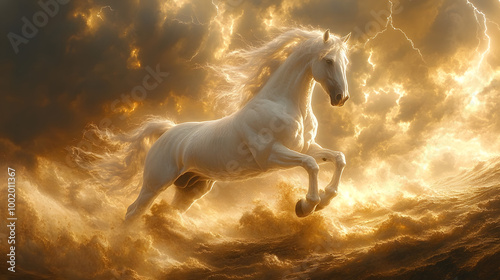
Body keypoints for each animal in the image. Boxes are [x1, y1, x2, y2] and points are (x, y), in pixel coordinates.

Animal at [109, 28, 350, 221]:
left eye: (345, 62)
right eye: (329, 60)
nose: (342, 98)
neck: (285, 106)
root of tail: (167, 132)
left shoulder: (307, 147)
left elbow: (338, 158)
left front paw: (325, 199)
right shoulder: (270, 156)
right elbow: (311, 164)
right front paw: (306, 206)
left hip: (191, 190)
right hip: (155, 183)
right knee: (133, 212)